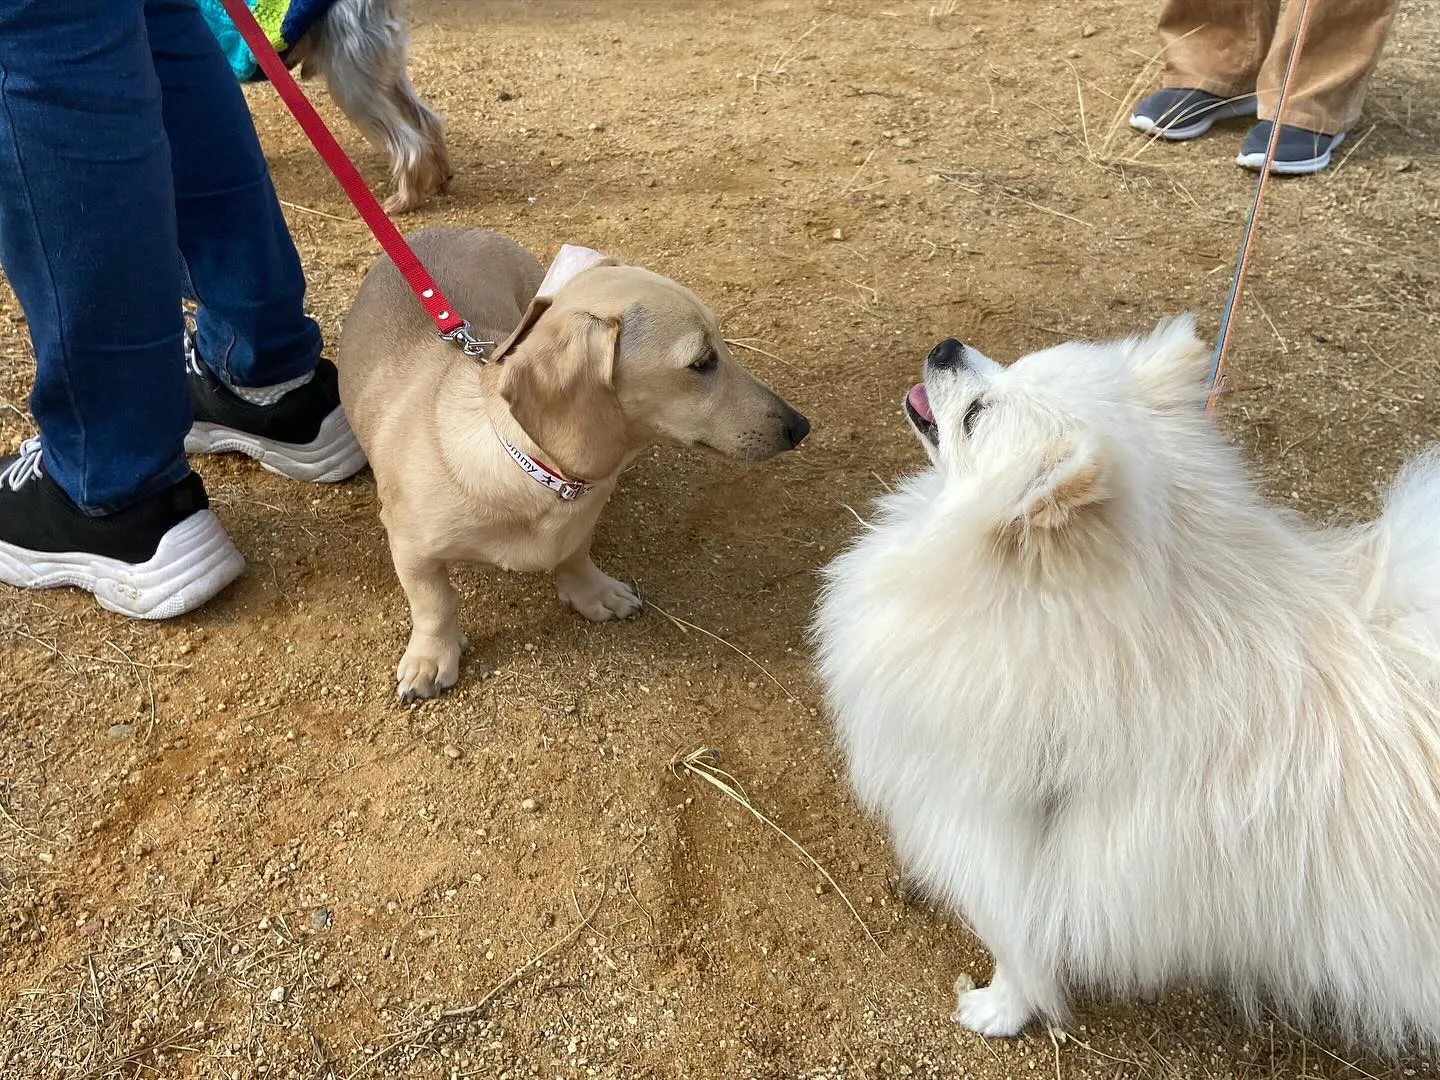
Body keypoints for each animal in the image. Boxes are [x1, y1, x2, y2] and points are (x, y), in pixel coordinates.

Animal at [338, 226, 812, 702]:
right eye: (701, 362)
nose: (801, 426)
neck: (537, 473)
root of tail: (440, 229)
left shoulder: (580, 524)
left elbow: (575, 556)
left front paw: (592, 592)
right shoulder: (411, 550)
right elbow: (435, 604)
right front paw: (432, 659)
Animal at [817, 316, 1440, 1054]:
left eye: (975, 416)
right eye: (1012, 361)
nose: (945, 348)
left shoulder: (1003, 844)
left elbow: (1019, 950)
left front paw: (998, 1011)